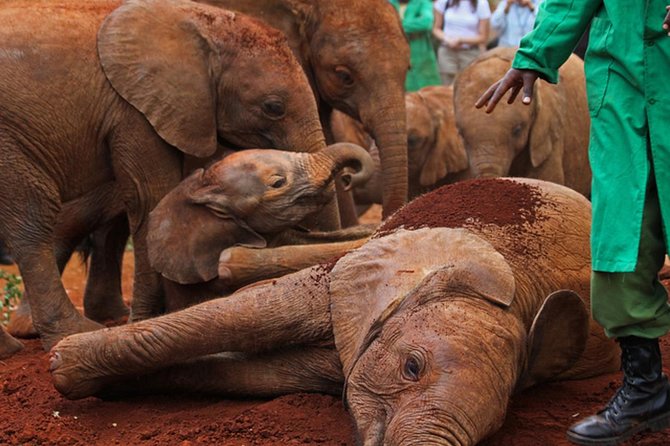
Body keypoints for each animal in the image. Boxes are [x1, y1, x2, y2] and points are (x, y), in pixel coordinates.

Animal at [0, 0, 332, 351]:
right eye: (272, 107)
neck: (198, 19)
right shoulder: (134, 112)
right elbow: (150, 197)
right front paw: (148, 319)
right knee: (32, 220)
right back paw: (72, 332)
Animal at [49, 177, 620, 445]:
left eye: (499, 419)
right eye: (412, 368)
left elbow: (255, 376)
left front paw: (99, 383)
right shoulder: (357, 276)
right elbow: (255, 313)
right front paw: (62, 367)